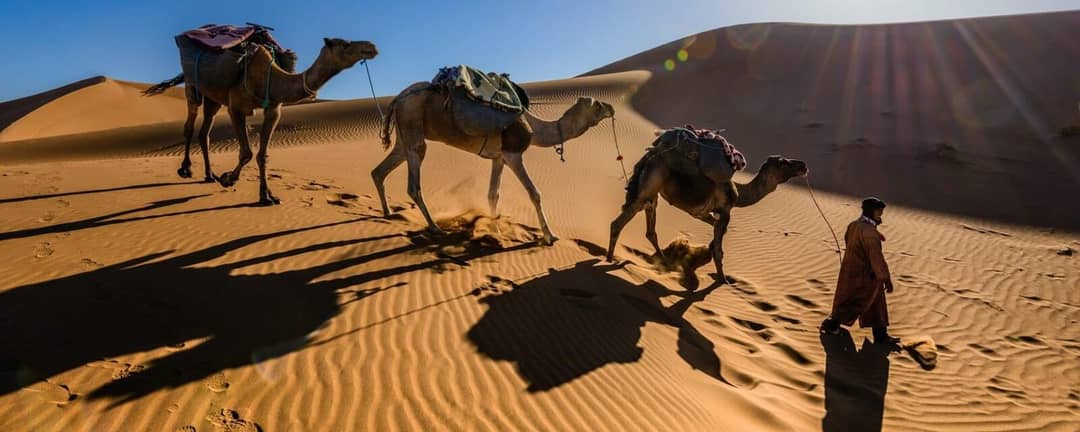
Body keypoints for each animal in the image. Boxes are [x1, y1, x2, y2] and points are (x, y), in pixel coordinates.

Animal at [145, 38, 377, 204]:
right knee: (189, 126)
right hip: (193, 86)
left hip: (213, 99)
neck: (271, 78)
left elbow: (262, 155)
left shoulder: (273, 110)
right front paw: (228, 179)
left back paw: (209, 175)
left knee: (205, 132)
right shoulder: (236, 107)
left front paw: (267, 196)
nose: (372, 47)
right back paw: (186, 169)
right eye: (345, 44)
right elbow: (246, 152)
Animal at [373, 82, 615, 244]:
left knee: (379, 170)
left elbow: (493, 194)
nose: (611, 108)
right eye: (597, 105)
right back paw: (434, 228)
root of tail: (398, 99)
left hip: (404, 136)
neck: (534, 127)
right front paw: (550, 236)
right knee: (414, 182)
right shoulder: (513, 153)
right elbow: (534, 193)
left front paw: (493, 227)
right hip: (413, 125)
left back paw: (388, 213)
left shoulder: (499, 158)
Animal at [606, 130, 807, 284]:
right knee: (618, 223)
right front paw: (723, 280)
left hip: (652, 193)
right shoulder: (725, 211)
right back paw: (609, 259)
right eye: (783, 162)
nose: (803, 165)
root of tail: (650, 155)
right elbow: (719, 249)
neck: (739, 193)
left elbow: (716, 233)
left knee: (650, 229)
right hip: (648, 188)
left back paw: (664, 261)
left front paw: (707, 252)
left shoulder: (702, 212)